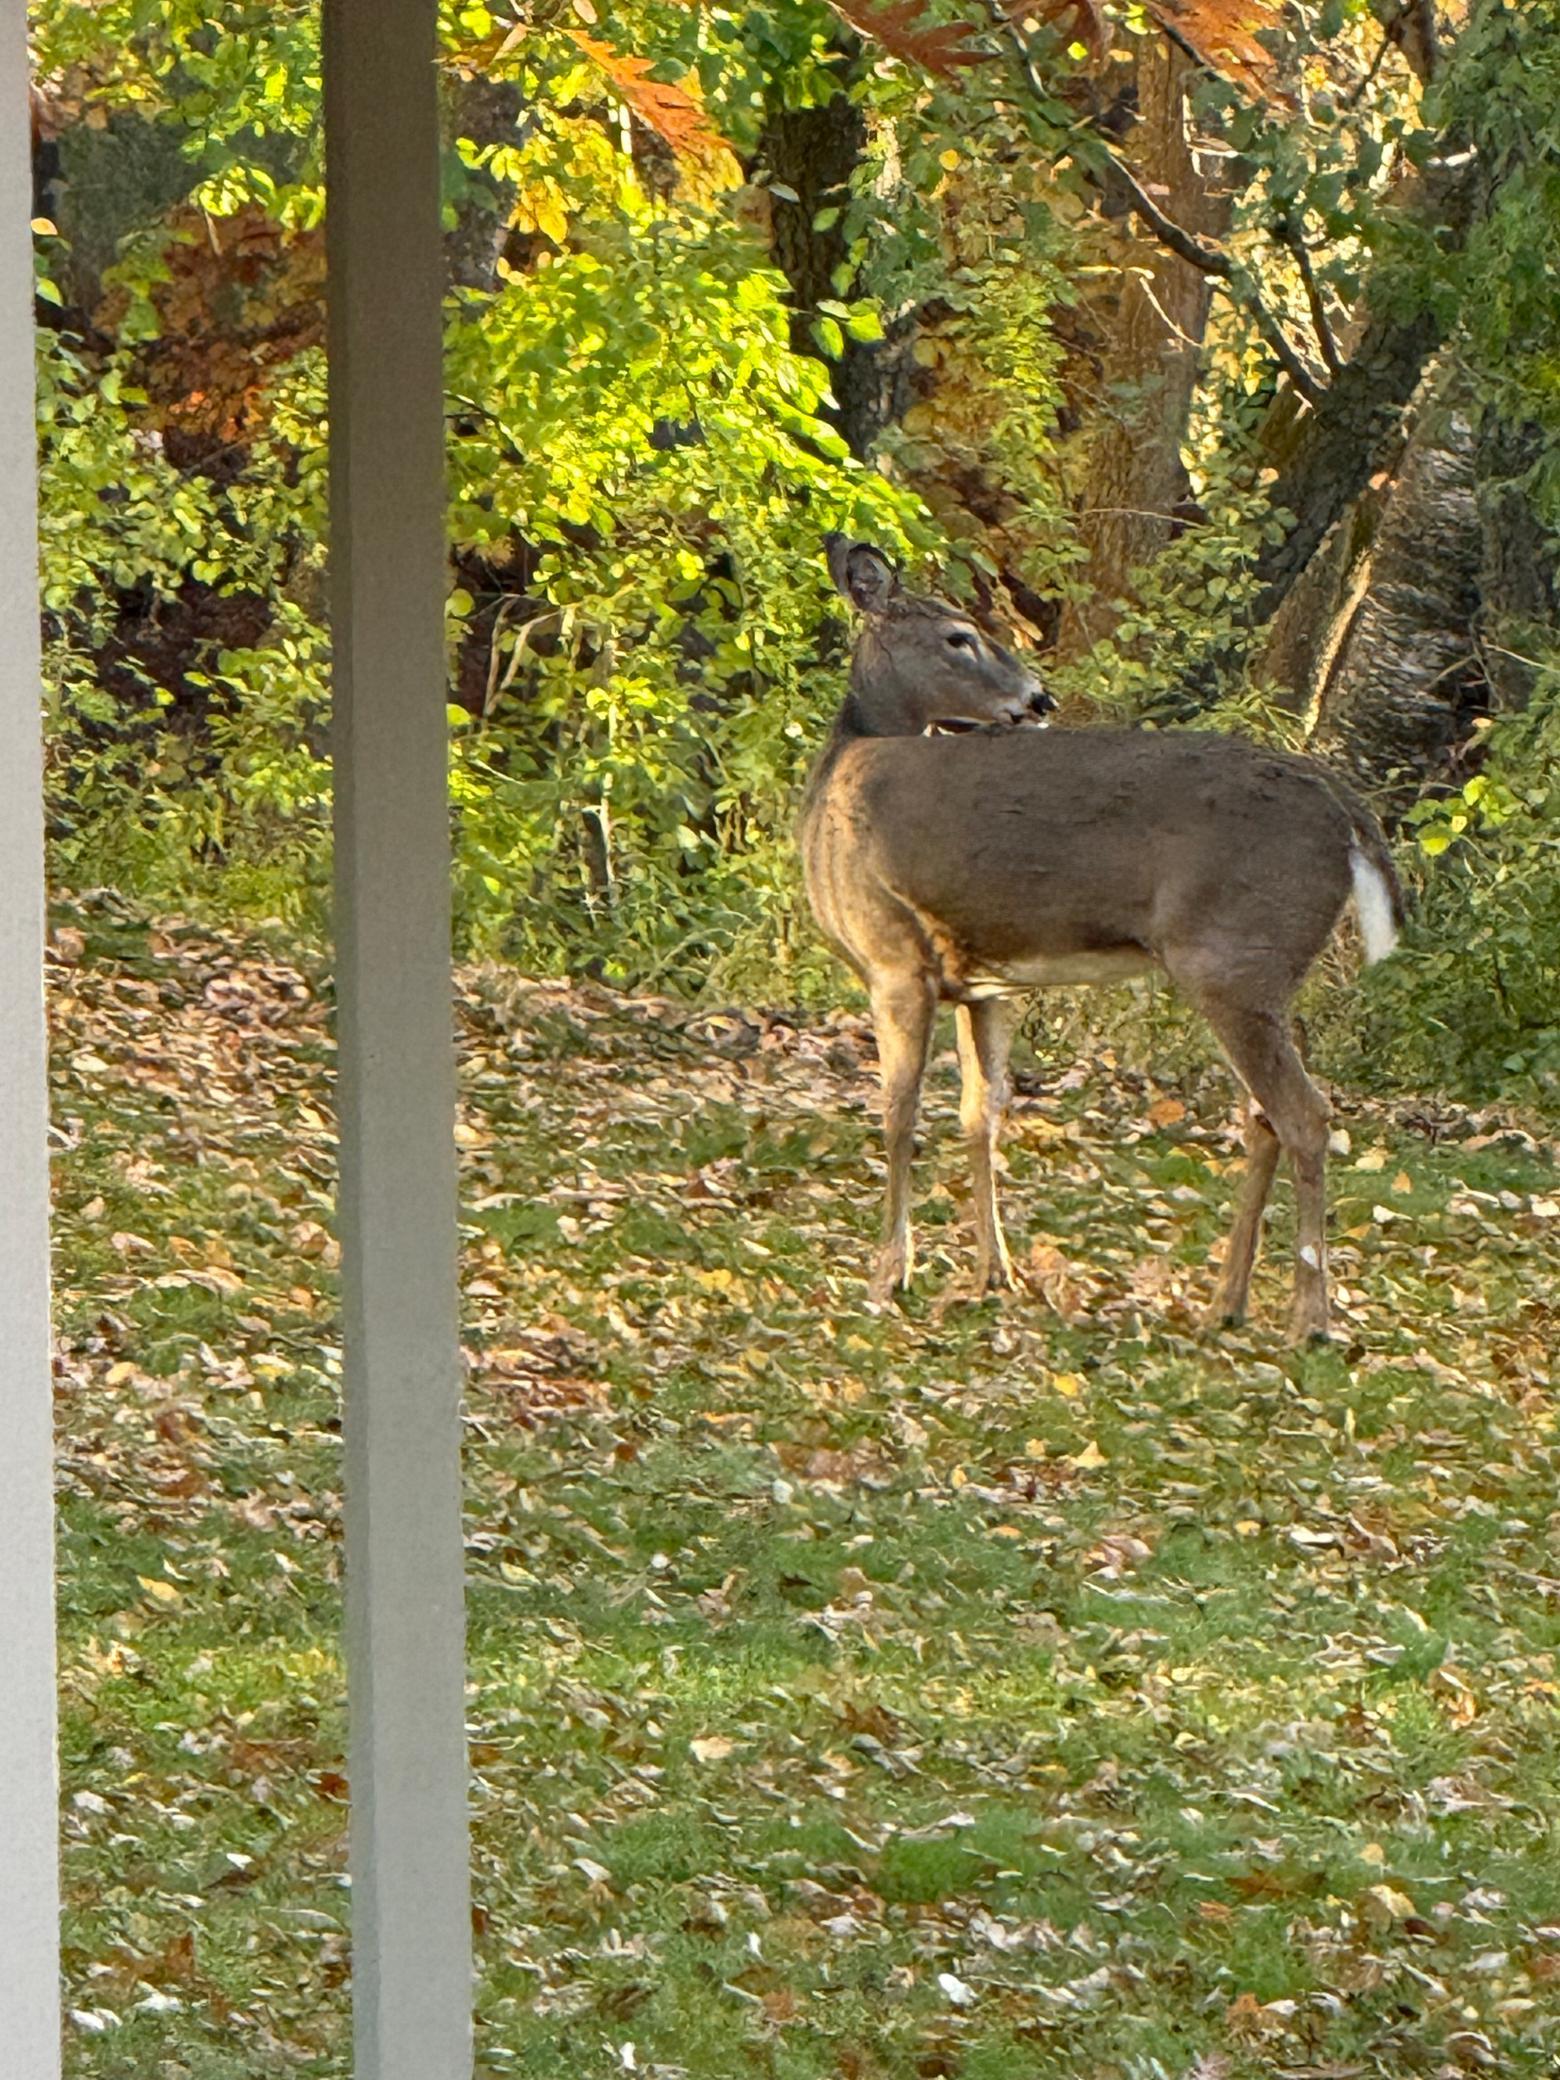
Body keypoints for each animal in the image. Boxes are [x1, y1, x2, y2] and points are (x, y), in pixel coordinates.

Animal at [801, 537, 1405, 1342]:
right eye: (958, 638)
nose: (1038, 700)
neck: (837, 782)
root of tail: (1345, 811)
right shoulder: (981, 980)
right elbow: (980, 1115)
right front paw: (994, 1274)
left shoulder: (893, 956)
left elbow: (898, 1115)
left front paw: (889, 1274)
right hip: (1257, 974)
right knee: (1265, 1116)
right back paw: (1225, 1302)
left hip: (1232, 959)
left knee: (1306, 1115)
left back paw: (1310, 1319)